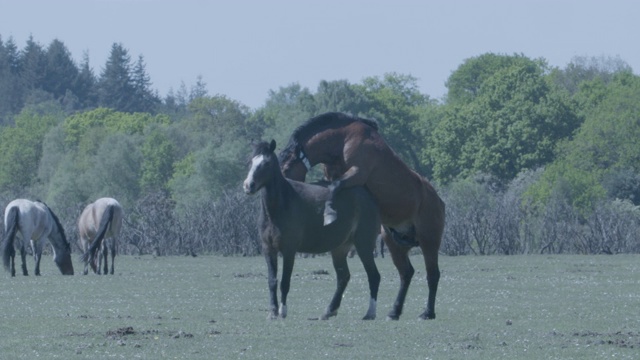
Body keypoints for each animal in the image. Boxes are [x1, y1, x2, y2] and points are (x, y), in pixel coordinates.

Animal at [241, 139, 380, 320]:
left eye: (266, 163)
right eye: (250, 162)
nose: (248, 185)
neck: (279, 207)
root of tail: (370, 198)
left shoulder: (289, 250)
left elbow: (285, 281)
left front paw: (282, 311)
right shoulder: (268, 249)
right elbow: (272, 281)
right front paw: (272, 312)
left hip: (364, 245)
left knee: (373, 276)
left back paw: (370, 313)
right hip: (339, 249)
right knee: (343, 277)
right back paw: (329, 311)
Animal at [280, 112, 444, 320]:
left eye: (286, 168)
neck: (343, 138)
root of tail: (439, 201)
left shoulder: (357, 173)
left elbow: (334, 187)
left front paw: (329, 212)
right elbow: (329, 188)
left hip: (429, 241)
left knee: (433, 274)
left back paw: (427, 312)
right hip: (394, 242)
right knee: (406, 273)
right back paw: (394, 311)